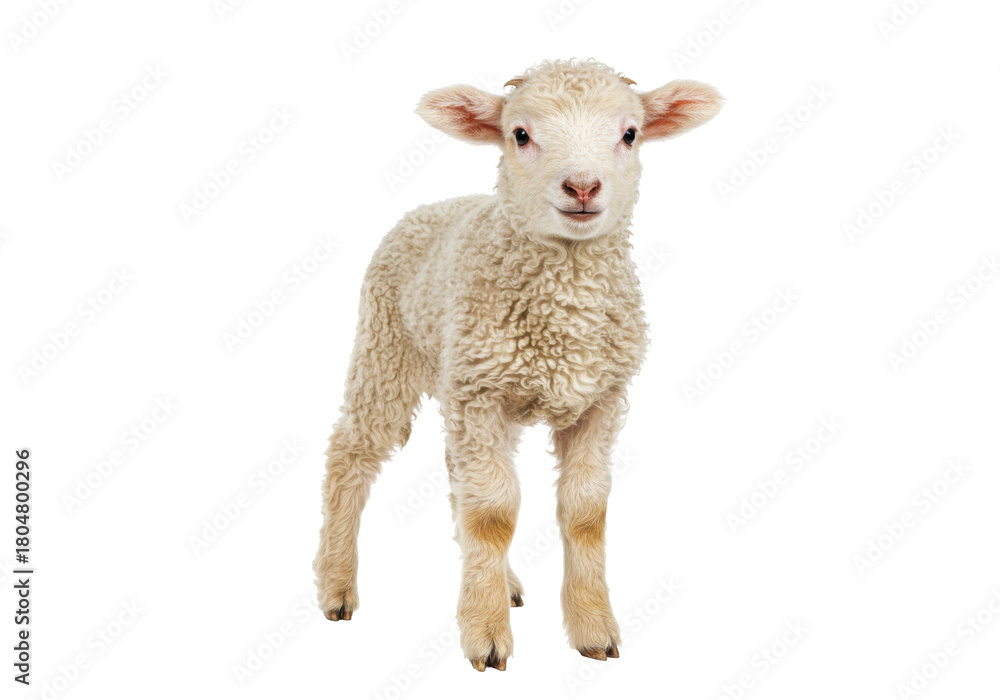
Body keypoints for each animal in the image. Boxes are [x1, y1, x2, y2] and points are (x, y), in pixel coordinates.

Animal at [313, 59, 722, 671]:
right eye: (520, 134)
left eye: (630, 134)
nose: (582, 187)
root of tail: (429, 207)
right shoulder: (480, 394)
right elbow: (494, 513)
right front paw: (485, 636)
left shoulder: (600, 399)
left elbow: (583, 512)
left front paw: (593, 629)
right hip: (386, 350)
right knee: (352, 453)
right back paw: (337, 586)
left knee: (457, 475)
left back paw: (497, 583)